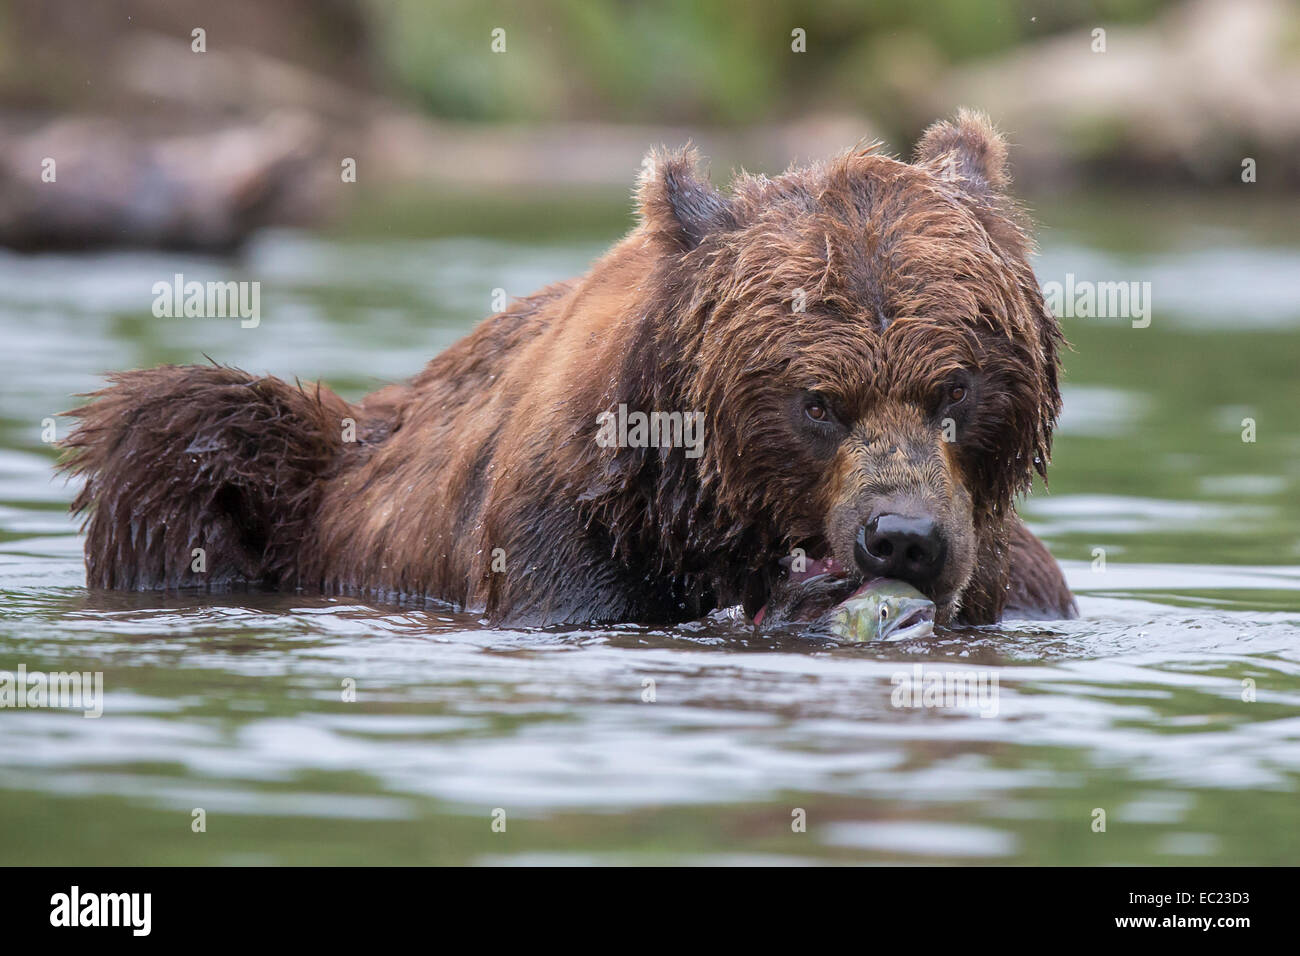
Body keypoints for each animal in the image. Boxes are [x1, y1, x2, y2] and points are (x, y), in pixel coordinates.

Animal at [61, 111, 1076, 629]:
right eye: (819, 402)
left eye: (956, 388)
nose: (900, 538)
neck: (693, 506)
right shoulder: (563, 531)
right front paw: (811, 600)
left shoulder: (1005, 579)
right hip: (291, 479)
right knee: (179, 441)